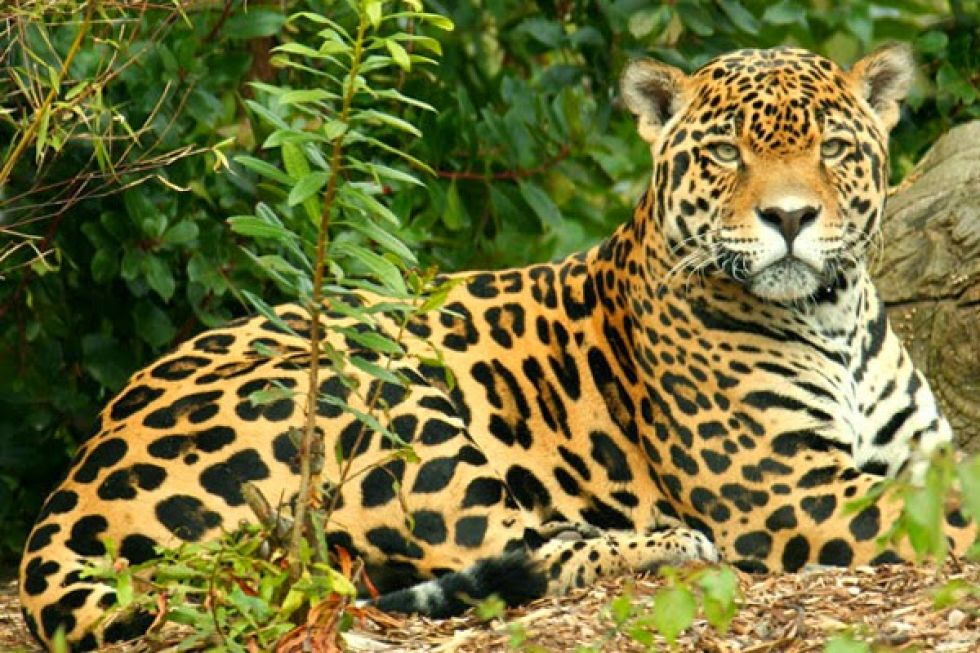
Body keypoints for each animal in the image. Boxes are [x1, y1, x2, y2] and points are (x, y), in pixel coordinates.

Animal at [20, 44, 975, 651]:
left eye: (835, 148)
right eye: (725, 153)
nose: (789, 217)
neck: (831, 316)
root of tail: (74, 482)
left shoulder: (916, 449)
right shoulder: (789, 491)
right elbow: (952, 512)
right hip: (378, 392)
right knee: (496, 547)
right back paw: (667, 541)